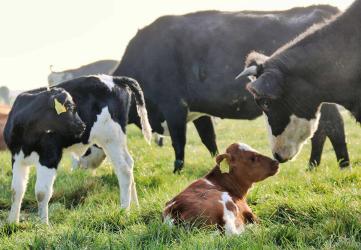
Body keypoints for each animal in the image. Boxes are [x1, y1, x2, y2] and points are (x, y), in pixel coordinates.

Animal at [4, 74, 150, 225]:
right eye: (67, 108)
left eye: (74, 108)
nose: (83, 126)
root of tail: (115, 78)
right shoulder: (16, 157)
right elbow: (16, 190)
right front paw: (12, 223)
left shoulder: (50, 156)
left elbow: (41, 192)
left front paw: (43, 225)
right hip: (117, 140)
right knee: (129, 163)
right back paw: (136, 207)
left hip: (111, 137)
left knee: (124, 170)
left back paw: (124, 211)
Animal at [110, 5, 348, 174]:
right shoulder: (198, 111)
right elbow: (209, 139)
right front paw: (217, 163)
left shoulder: (174, 106)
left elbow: (179, 142)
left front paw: (177, 170)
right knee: (323, 129)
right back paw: (314, 166)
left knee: (332, 126)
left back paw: (342, 165)